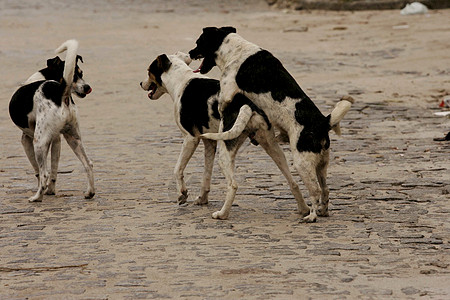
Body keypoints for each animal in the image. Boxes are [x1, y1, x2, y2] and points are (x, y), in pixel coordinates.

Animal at [8, 39, 94, 203]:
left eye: (81, 74)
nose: (88, 87)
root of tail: (61, 91)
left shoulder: (26, 139)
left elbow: (38, 171)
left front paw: (44, 190)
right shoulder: (56, 139)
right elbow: (54, 170)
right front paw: (51, 190)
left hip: (39, 142)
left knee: (44, 173)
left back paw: (36, 197)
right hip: (73, 138)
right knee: (88, 164)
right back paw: (90, 192)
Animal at [140, 50, 310, 217]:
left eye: (148, 71)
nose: (141, 83)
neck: (181, 80)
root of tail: (248, 105)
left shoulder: (190, 139)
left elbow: (177, 169)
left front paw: (182, 194)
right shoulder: (209, 143)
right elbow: (206, 176)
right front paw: (202, 199)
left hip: (225, 153)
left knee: (233, 185)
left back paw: (222, 214)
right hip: (271, 148)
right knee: (293, 182)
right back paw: (304, 210)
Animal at [188, 26, 354, 223]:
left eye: (198, 42)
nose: (190, 52)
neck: (234, 50)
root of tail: (322, 122)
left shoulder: (226, 97)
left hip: (302, 163)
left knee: (315, 191)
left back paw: (312, 216)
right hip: (321, 164)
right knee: (326, 189)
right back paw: (323, 211)